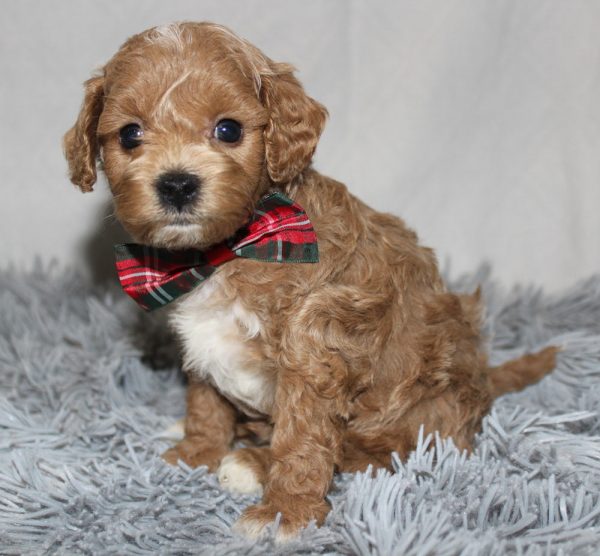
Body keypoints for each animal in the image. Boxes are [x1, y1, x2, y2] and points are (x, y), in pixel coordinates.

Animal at [63, 22, 557, 540]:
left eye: (228, 129)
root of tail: (483, 381)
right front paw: (198, 449)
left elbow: (302, 437)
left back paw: (253, 462)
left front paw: (287, 510)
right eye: (130, 134)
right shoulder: (201, 338)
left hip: (421, 409)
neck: (230, 249)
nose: (177, 183)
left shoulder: (318, 341)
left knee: (377, 453)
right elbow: (205, 400)